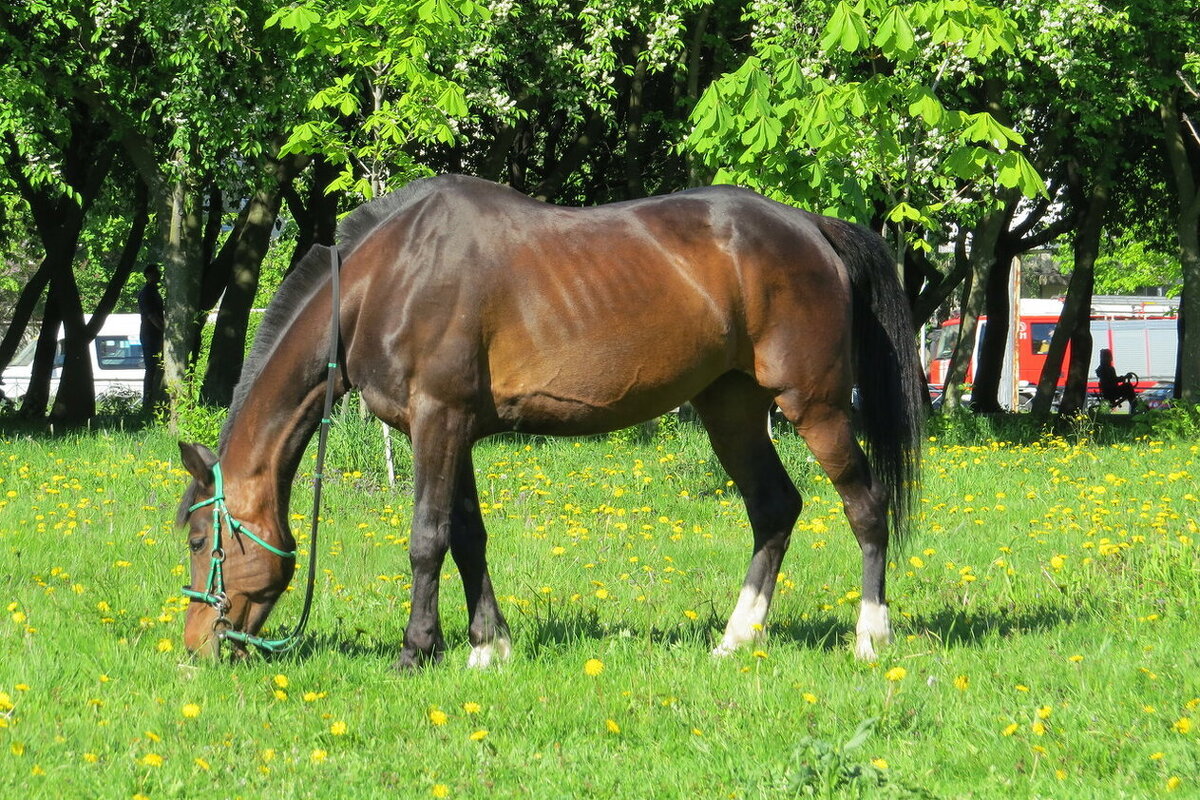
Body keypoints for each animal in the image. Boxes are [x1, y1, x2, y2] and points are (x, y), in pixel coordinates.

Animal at [177, 175, 921, 671]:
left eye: (197, 538)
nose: (195, 648)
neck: (385, 279)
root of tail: (812, 226)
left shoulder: (437, 420)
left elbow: (427, 538)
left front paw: (417, 652)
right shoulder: (453, 430)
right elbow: (468, 537)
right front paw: (489, 646)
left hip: (816, 405)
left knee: (865, 505)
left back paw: (870, 637)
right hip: (731, 408)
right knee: (774, 508)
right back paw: (736, 638)